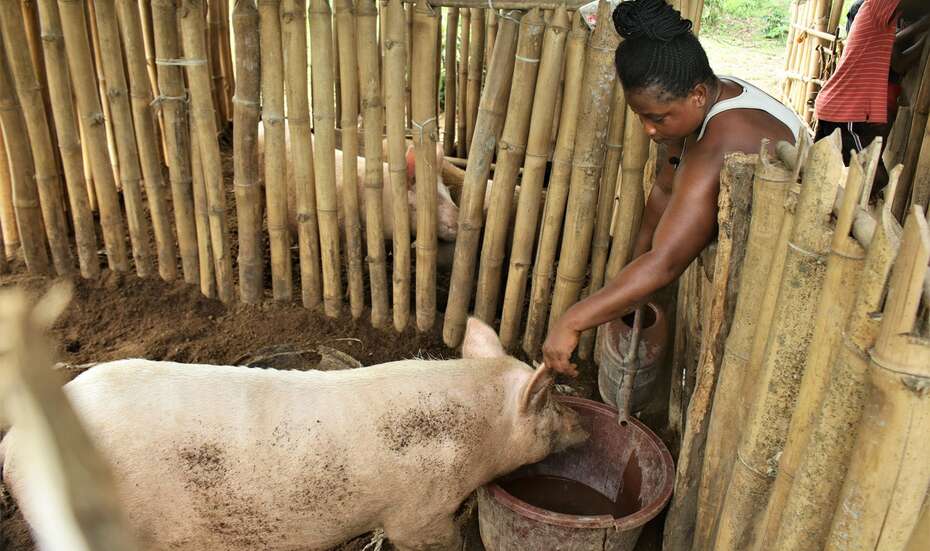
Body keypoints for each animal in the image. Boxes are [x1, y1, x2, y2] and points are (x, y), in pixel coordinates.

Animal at [1, 319, 587, 551]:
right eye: (553, 407)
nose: (582, 425)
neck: (474, 436)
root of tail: (13, 440)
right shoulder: (418, 511)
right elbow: (430, 539)